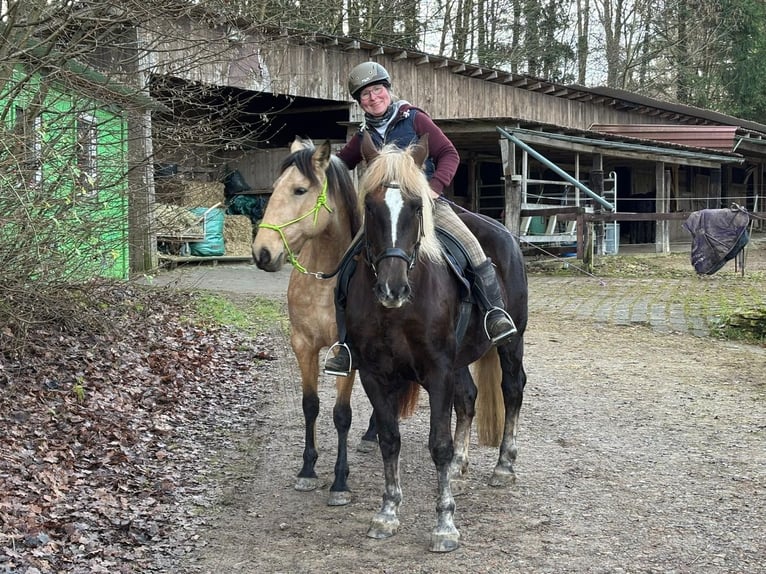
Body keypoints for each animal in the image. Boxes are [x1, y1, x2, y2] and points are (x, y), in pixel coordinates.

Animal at [251, 137, 376, 506]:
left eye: (300, 189)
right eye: (275, 187)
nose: (262, 253)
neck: (326, 282)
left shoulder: (345, 353)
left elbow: (341, 415)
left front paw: (340, 481)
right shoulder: (303, 344)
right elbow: (310, 406)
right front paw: (307, 470)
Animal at [345, 133, 528, 552]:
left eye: (416, 207)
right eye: (370, 206)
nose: (392, 289)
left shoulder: (437, 371)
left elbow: (438, 445)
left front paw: (445, 524)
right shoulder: (374, 374)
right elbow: (389, 439)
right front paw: (387, 513)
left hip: (511, 343)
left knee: (512, 388)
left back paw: (504, 466)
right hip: (460, 359)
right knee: (469, 397)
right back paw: (462, 463)